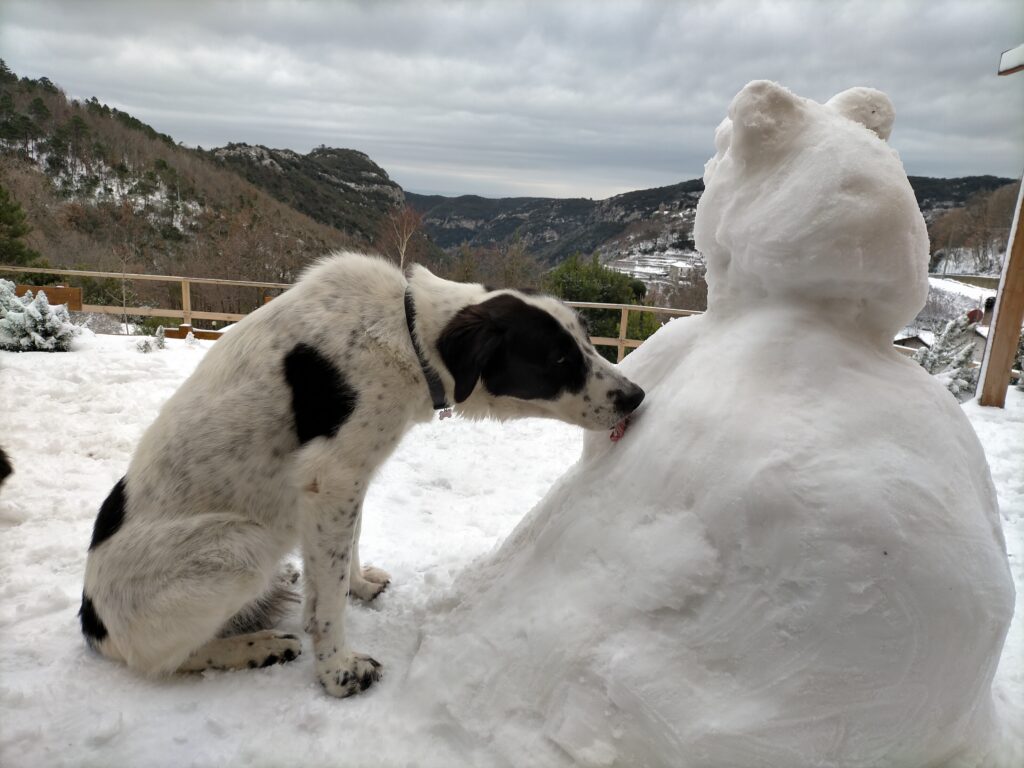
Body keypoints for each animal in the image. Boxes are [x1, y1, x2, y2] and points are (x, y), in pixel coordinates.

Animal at [79, 252, 643, 696]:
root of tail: (93, 622)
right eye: (559, 359)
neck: (406, 333)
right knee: (160, 660)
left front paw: (359, 585)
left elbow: (344, 551)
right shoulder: (332, 477)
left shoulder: (352, 477)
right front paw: (338, 673)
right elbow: (326, 604)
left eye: (586, 340)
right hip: (241, 547)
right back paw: (256, 647)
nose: (636, 395)